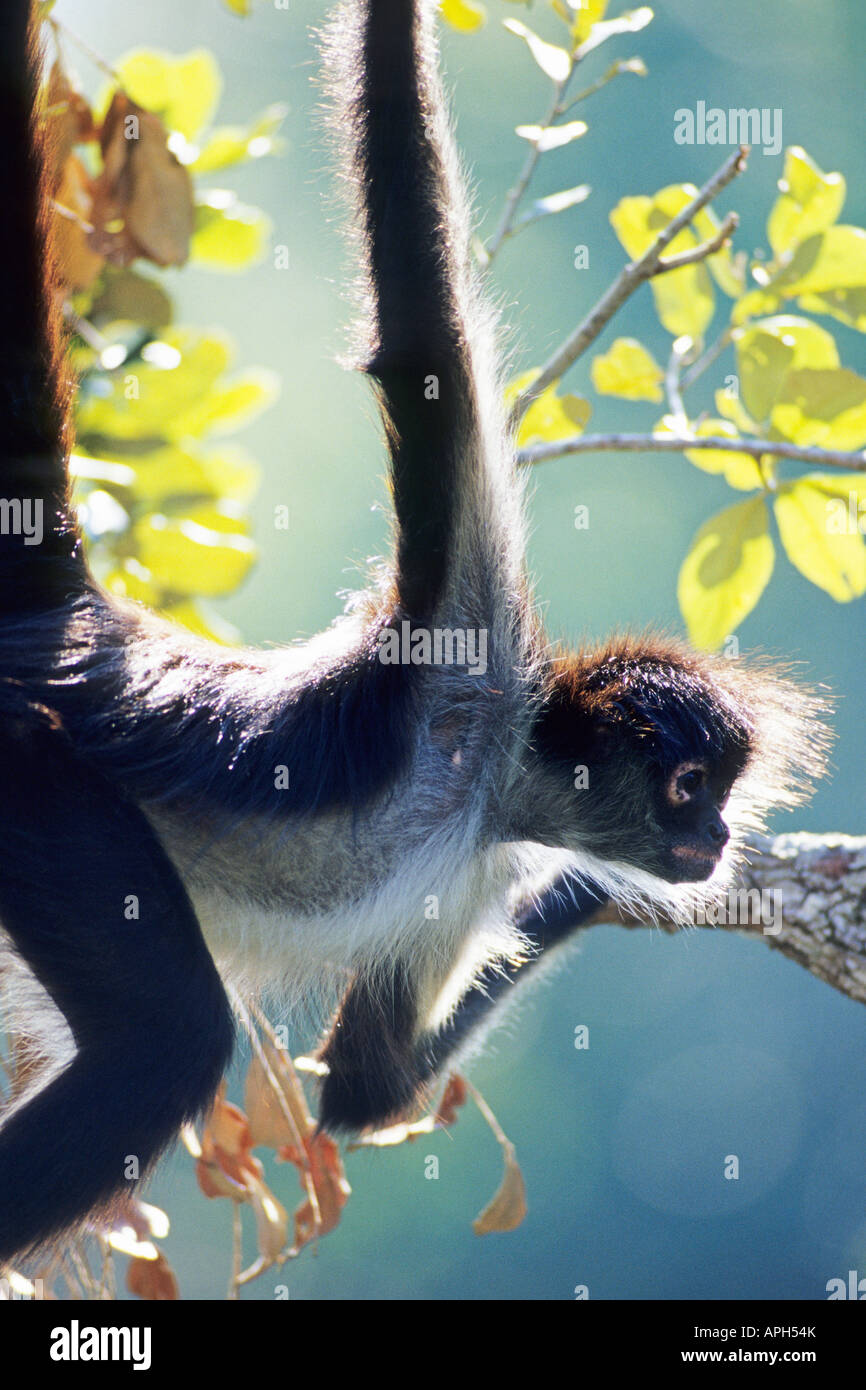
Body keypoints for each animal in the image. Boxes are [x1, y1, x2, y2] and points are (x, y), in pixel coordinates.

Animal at [0, 0, 828, 1262]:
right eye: (688, 787)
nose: (717, 835)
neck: (488, 782)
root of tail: (76, 624)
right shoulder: (467, 644)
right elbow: (426, 347)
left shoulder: (475, 877)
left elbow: (369, 1083)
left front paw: (587, 896)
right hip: (31, 772)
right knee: (166, 1042)